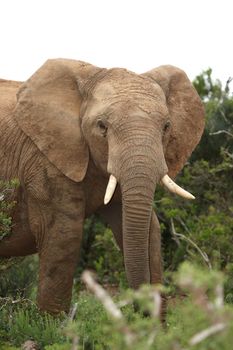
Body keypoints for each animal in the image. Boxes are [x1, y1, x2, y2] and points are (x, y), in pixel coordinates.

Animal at [0, 58, 204, 314]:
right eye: (102, 126)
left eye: (167, 127)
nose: (140, 313)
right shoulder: (43, 159)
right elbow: (63, 233)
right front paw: (51, 322)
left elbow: (147, 228)